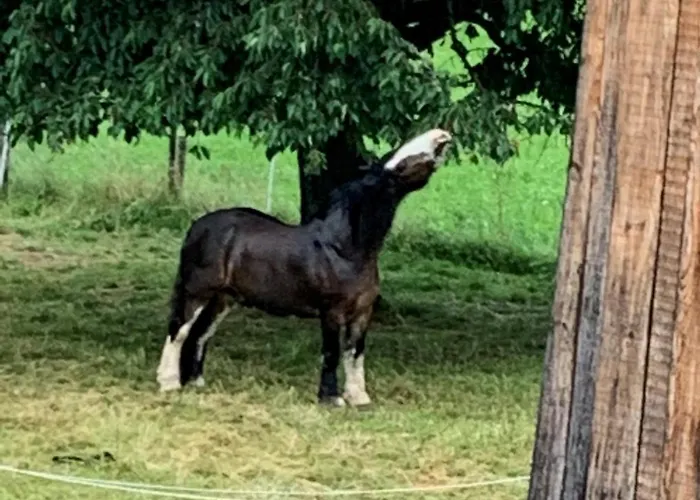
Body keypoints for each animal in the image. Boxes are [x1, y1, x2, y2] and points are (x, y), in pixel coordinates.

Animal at [156, 128, 453, 407]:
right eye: (400, 161)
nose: (441, 136)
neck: (344, 249)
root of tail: (197, 226)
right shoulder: (331, 312)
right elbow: (332, 353)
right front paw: (331, 398)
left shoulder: (362, 313)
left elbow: (355, 353)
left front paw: (358, 397)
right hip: (198, 293)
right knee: (179, 331)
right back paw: (169, 382)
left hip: (223, 299)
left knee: (201, 335)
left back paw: (196, 382)